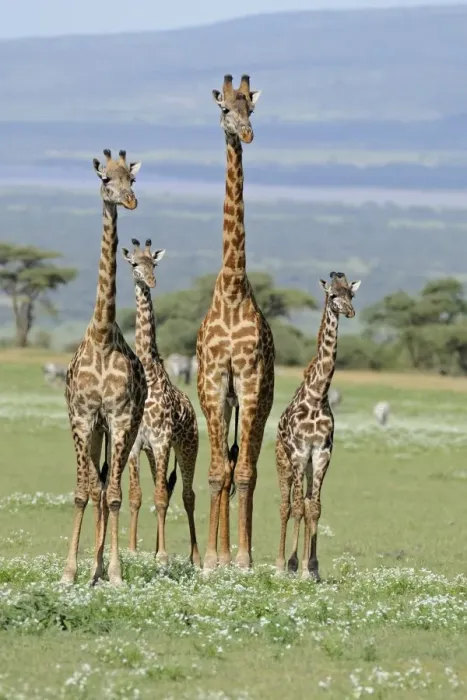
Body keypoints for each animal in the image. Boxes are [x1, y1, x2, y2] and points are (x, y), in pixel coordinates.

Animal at [275, 272, 361, 581]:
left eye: (351, 294)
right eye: (333, 295)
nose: (350, 312)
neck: (317, 396)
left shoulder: (321, 454)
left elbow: (315, 508)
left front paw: (311, 568)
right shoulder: (300, 454)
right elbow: (299, 508)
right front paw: (295, 565)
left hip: (309, 466)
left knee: (305, 501)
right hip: (284, 463)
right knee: (286, 505)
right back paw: (280, 563)